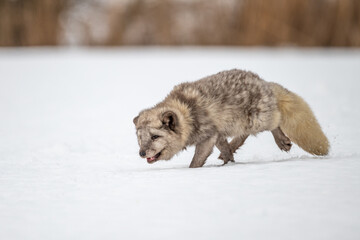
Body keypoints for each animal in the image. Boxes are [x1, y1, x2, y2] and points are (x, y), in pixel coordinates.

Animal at [133, 68, 330, 168]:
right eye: (140, 139)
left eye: (155, 137)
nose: (141, 153)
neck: (187, 111)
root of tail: (265, 83)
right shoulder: (217, 134)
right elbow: (224, 147)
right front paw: (229, 162)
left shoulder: (208, 136)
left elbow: (196, 162)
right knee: (241, 137)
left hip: (258, 121)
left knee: (276, 120)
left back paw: (282, 141)